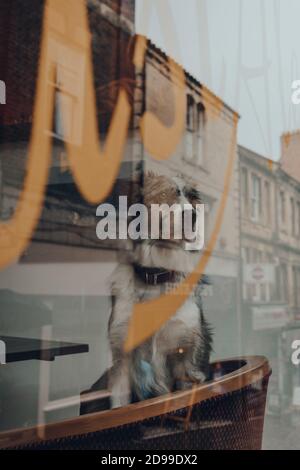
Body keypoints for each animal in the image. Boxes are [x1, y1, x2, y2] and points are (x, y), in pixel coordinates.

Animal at [106, 173, 212, 408]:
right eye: (163, 195)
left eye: (190, 198)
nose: (193, 216)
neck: (155, 277)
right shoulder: (122, 356)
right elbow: (119, 406)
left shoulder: (186, 357)